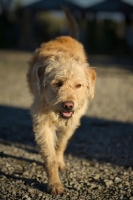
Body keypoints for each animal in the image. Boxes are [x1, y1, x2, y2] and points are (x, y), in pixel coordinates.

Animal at [27, 9, 96, 194]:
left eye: (78, 85)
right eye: (57, 83)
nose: (68, 105)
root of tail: (67, 36)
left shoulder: (73, 121)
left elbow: (62, 144)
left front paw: (59, 162)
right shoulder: (42, 124)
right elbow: (49, 156)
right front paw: (54, 184)